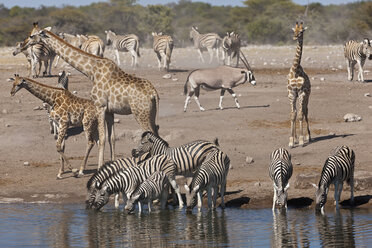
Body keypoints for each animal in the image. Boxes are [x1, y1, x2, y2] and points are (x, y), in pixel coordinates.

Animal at [21, 23, 158, 168]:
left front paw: (99, 167)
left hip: (140, 113)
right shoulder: (110, 111)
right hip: (151, 113)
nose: (23, 45)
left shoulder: (100, 106)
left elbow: (102, 138)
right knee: (156, 133)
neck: (91, 71)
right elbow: (112, 138)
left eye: (32, 35)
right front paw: (112, 163)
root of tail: (153, 93)